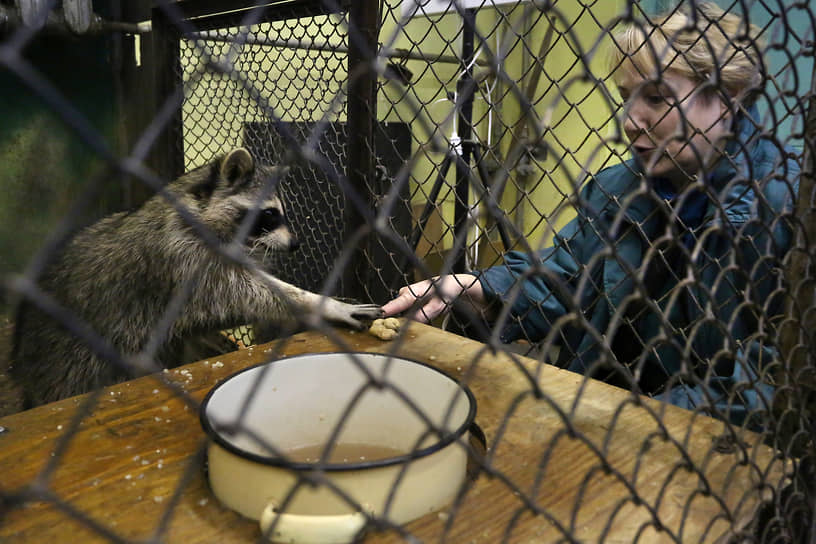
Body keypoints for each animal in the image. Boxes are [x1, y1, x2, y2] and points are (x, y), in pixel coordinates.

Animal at [11, 147, 382, 406]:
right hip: (73, 358)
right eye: (268, 215)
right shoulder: (184, 259)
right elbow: (244, 294)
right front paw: (320, 304)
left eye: (281, 213)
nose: (295, 244)